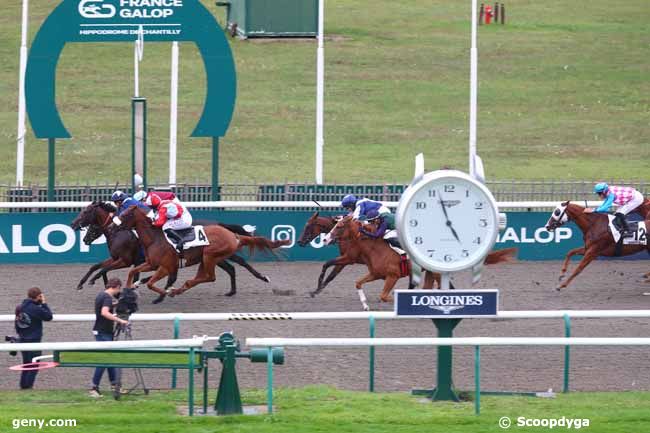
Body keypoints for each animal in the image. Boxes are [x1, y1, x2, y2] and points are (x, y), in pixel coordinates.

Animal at [72, 201, 270, 296]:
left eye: (85, 212)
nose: (74, 225)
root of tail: (219, 224)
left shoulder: (125, 260)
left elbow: (104, 268)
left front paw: (96, 282)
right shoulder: (121, 259)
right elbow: (97, 266)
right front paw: (83, 283)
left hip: (214, 255)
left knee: (240, 262)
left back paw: (262, 278)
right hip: (213, 258)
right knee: (230, 268)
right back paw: (232, 291)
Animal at [115, 205, 288, 300]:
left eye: (125, 214)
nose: (112, 226)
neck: (155, 238)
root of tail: (233, 235)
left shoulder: (165, 266)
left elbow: (152, 283)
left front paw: (163, 293)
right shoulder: (151, 263)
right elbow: (133, 272)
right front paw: (128, 290)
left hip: (210, 255)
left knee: (212, 276)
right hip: (207, 259)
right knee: (210, 274)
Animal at [324, 215, 516, 308]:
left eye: (339, 226)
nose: (325, 239)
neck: (375, 248)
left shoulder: (392, 276)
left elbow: (384, 296)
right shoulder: (375, 274)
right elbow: (358, 283)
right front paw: (365, 305)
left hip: (436, 272)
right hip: (431, 273)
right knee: (430, 289)